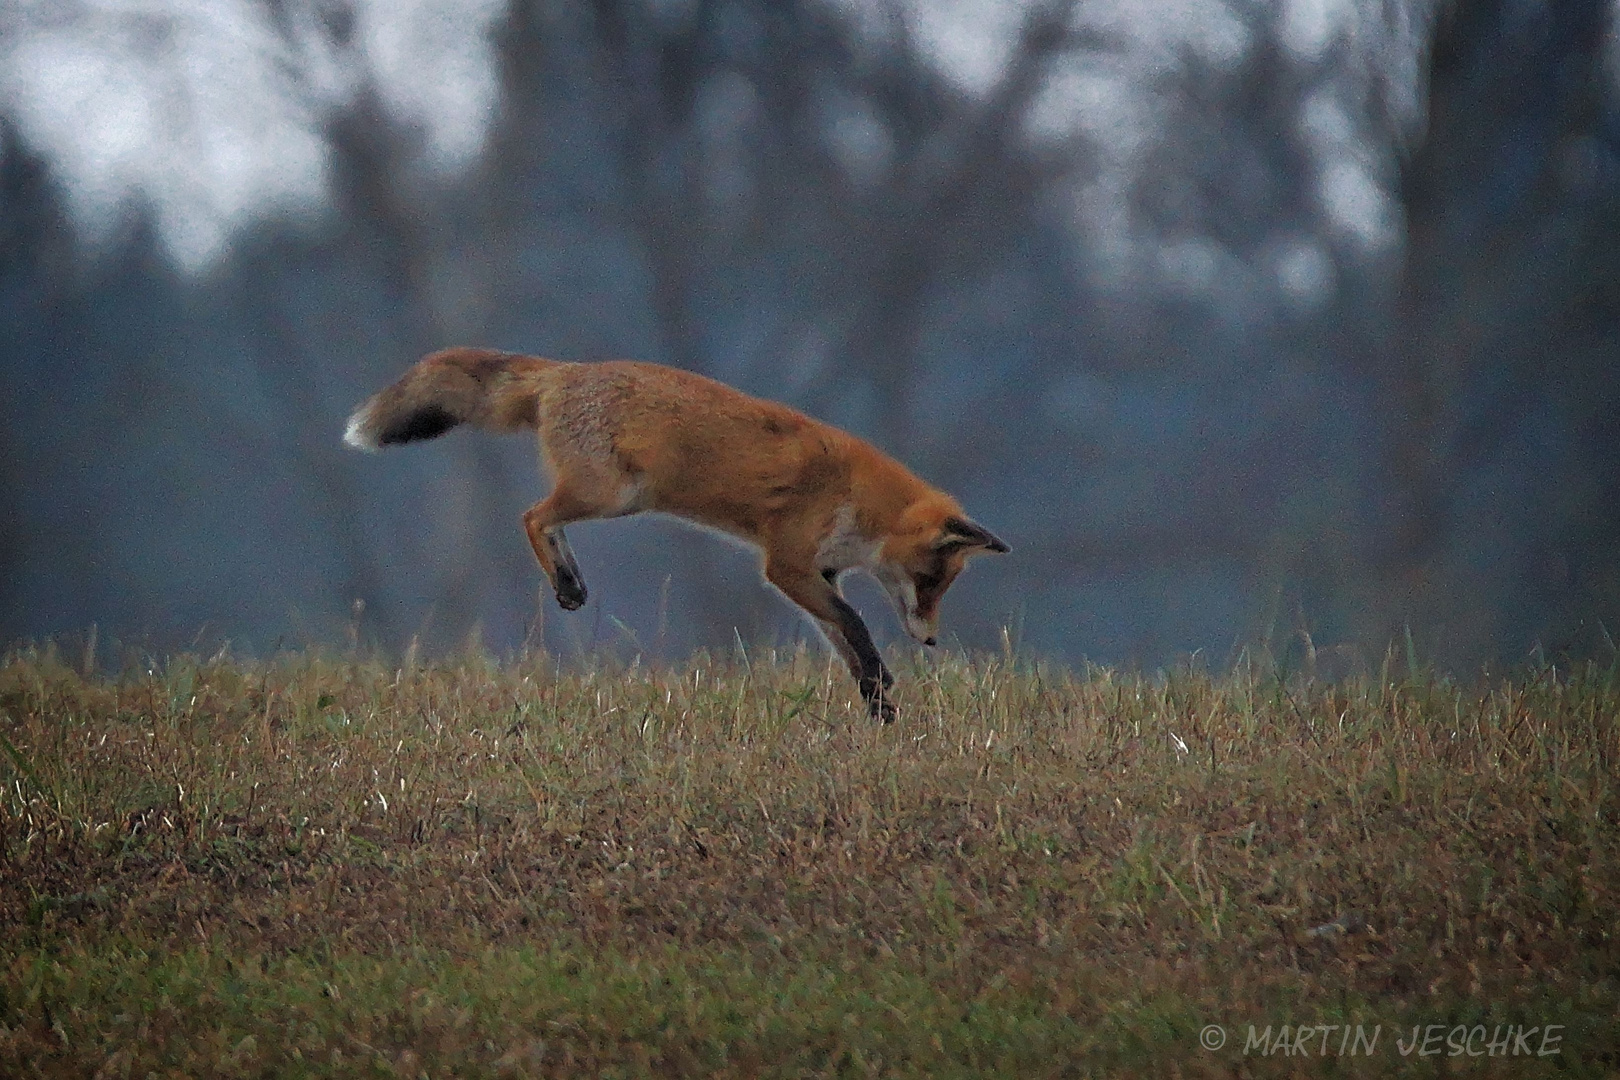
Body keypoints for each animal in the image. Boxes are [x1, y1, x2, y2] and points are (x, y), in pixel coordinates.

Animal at [343, 348, 1004, 718]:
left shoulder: (821, 573)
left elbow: (846, 642)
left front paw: (880, 705)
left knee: (544, 520)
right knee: (531, 515)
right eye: (930, 580)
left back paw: (572, 581)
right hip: (612, 495)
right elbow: (856, 625)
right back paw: (565, 583)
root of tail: (567, 372)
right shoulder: (786, 564)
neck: (855, 498)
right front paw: (883, 695)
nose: (932, 641)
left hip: (616, 499)